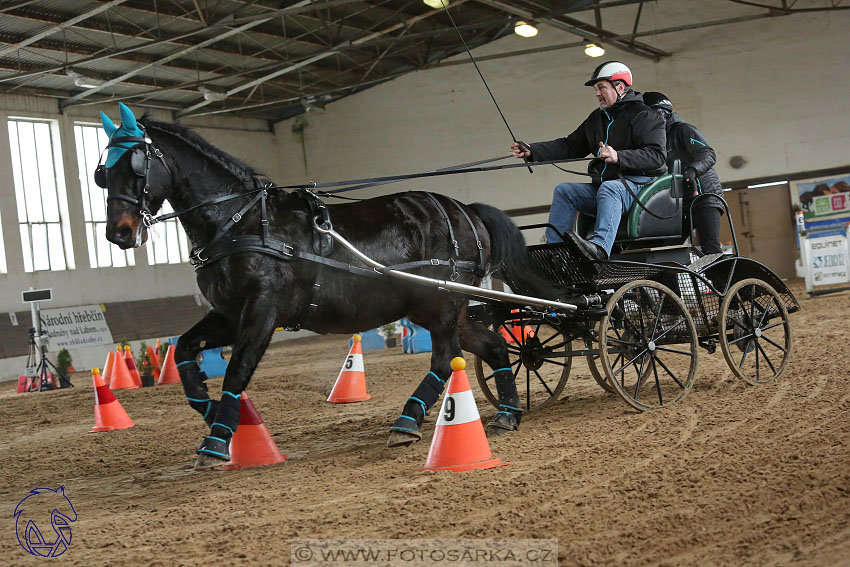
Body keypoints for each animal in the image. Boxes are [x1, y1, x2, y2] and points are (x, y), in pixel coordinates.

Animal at [99, 102, 548, 470]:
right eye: (103, 173)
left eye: (135, 163)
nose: (118, 234)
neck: (240, 220)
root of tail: (464, 210)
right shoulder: (228, 313)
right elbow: (184, 352)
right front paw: (214, 414)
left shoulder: (263, 309)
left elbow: (237, 370)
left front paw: (216, 441)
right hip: (444, 309)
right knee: (493, 346)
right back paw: (507, 413)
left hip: (441, 303)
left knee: (444, 360)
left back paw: (406, 422)